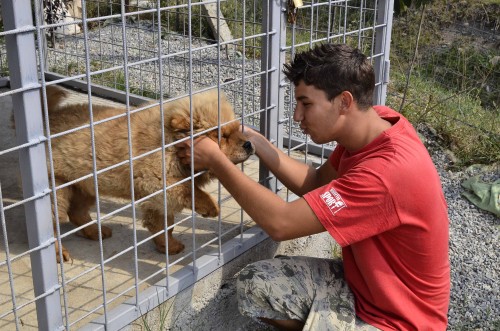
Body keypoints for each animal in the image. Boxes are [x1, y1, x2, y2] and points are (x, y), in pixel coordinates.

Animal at [42, 87, 254, 264]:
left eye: (237, 130)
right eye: (222, 136)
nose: (249, 144)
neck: (170, 144)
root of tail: (48, 120)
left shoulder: (157, 197)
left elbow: (164, 224)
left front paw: (168, 246)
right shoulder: (156, 182)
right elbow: (188, 190)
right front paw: (210, 207)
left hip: (85, 185)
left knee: (76, 212)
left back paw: (97, 231)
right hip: (57, 189)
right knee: (53, 227)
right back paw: (60, 253)